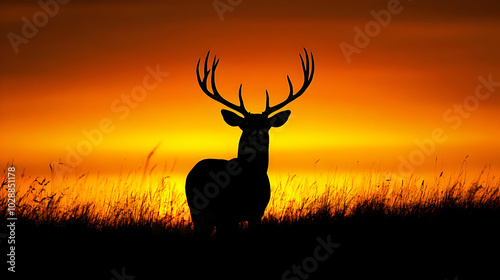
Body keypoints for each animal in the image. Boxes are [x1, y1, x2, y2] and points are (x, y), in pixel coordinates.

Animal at [186, 48, 314, 238]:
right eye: (244, 125)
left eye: (266, 125)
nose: (256, 136)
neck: (248, 181)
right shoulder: (229, 213)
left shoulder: (257, 212)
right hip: (202, 211)